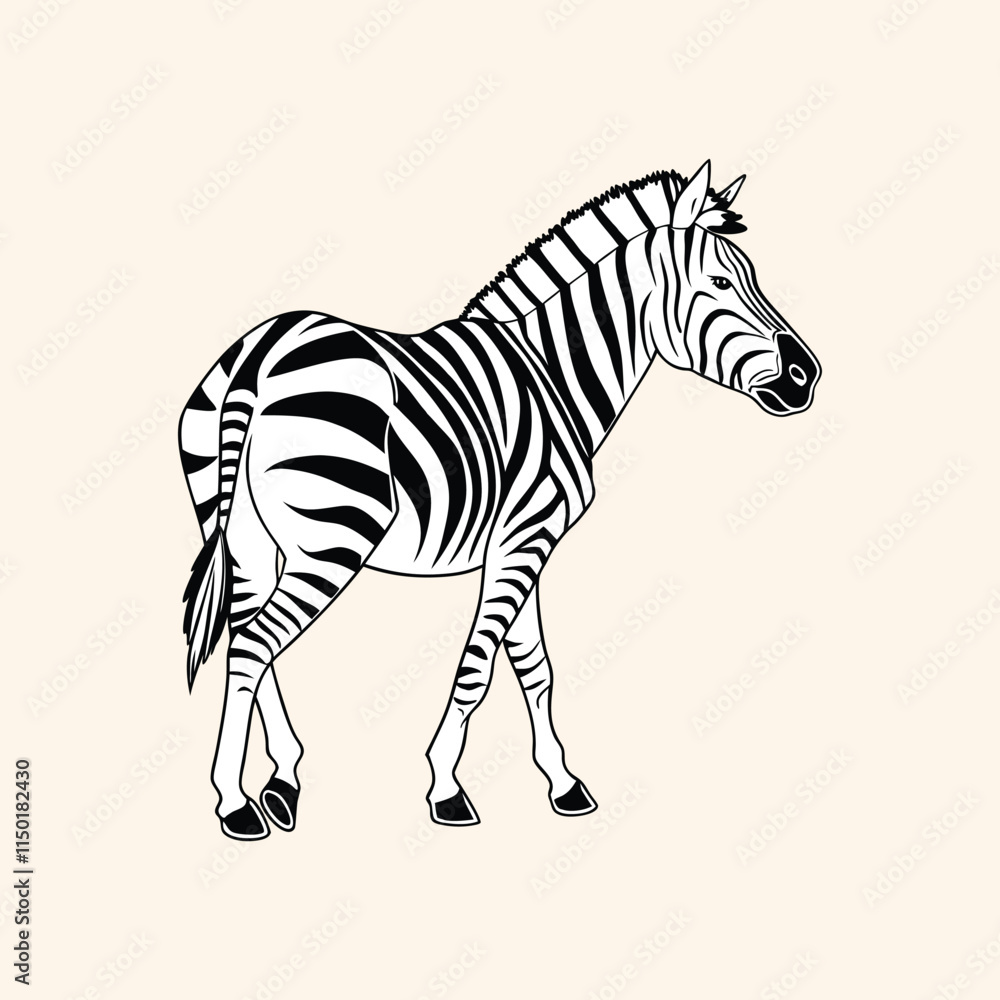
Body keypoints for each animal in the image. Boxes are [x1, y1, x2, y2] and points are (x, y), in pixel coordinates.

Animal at [179, 160, 821, 840]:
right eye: (721, 282)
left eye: (753, 279)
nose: (808, 375)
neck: (552, 371)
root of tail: (260, 356)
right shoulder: (525, 538)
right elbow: (479, 667)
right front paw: (446, 788)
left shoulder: (520, 543)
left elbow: (533, 667)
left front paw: (563, 783)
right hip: (334, 535)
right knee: (257, 642)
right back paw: (235, 802)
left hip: (245, 540)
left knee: (246, 638)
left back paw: (281, 782)